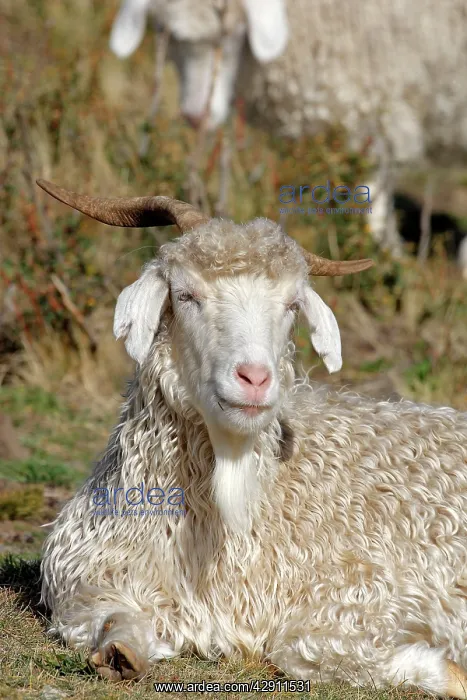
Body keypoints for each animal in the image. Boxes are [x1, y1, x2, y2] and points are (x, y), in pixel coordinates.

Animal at [38, 178, 467, 695]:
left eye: (290, 306)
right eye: (185, 295)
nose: (255, 378)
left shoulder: (372, 588)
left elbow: (303, 646)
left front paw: (450, 672)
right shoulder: (87, 574)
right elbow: (108, 614)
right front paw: (121, 653)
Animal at [108, 0, 467, 273]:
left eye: (231, 32)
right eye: (163, 32)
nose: (197, 116)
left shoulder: (373, 95)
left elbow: (372, 181)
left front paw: (384, 252)